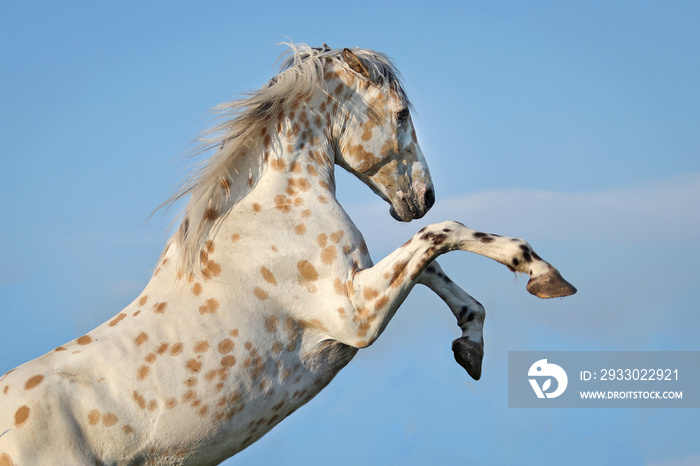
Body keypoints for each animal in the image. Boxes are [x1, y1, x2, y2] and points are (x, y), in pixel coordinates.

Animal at [0, 43, 576, 466]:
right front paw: (542, 274)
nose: (423, 196)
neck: (272, 209)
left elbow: (431, 264)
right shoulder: (354, 315)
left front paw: (470, 344)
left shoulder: (359, 281)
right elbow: (443, 233)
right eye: (401, 113)